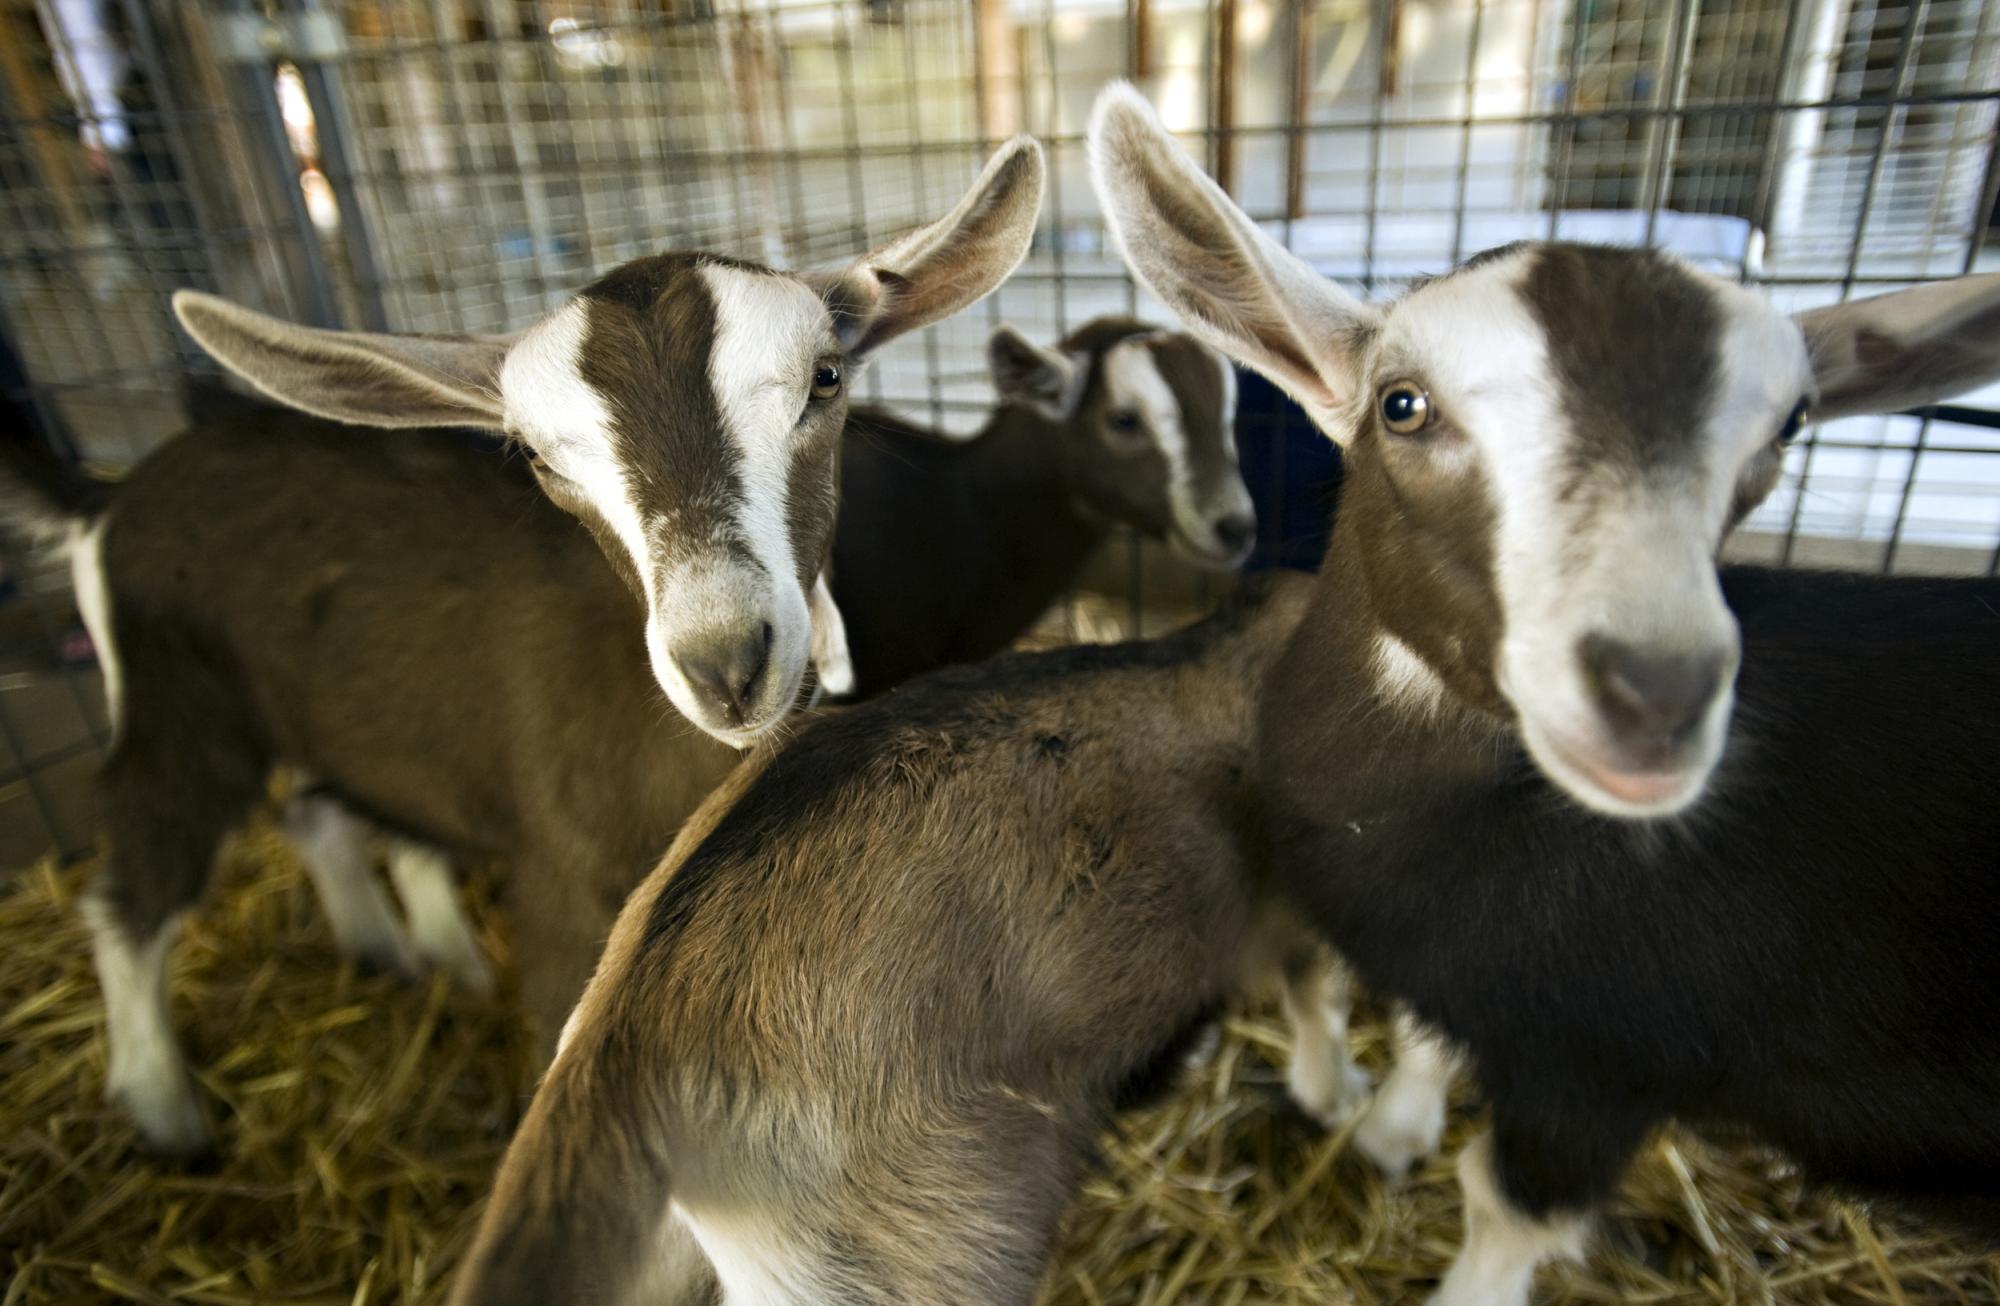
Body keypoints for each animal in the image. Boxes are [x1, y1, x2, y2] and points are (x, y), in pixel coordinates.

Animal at [1091, 81, 2000, 1305]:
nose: (1657, 696)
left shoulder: (1606, 1059)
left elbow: (1506, 1203)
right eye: (1402, 404)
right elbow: (1427, 1036)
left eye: (1787, 431)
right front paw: (1391, 1131)